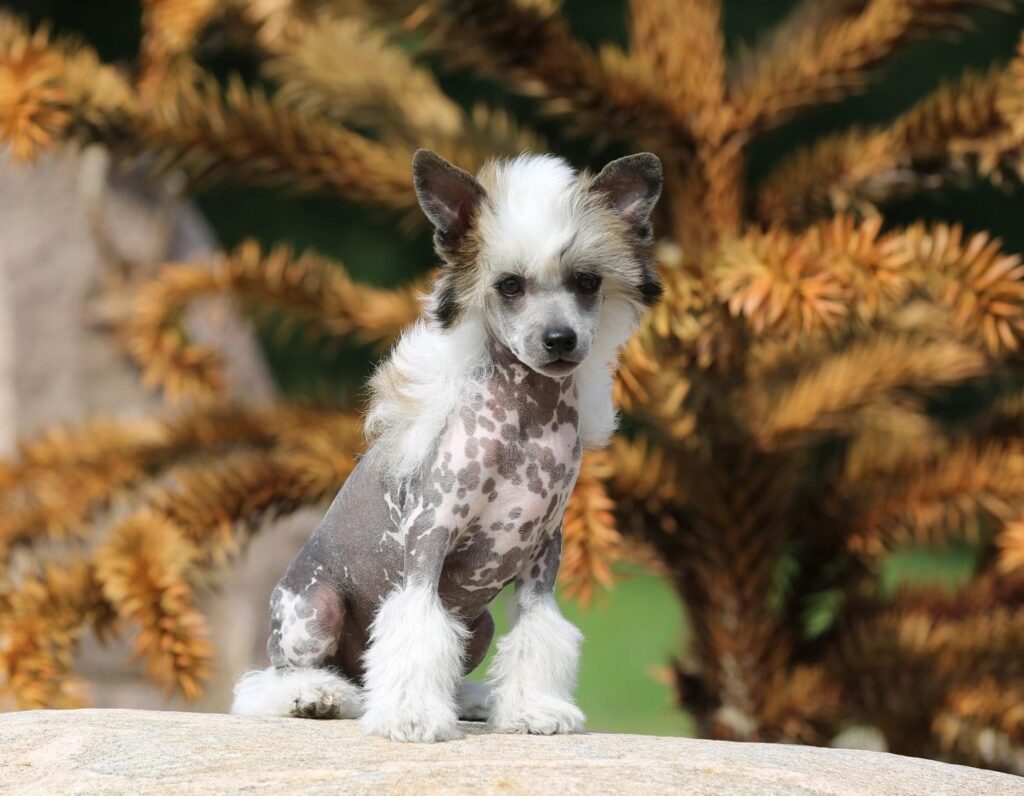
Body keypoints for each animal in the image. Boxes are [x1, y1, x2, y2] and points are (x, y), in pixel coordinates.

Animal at [230, 147, 663, 737]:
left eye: (587, 281)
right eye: (510, 285)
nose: (560, 340)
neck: (525, 425)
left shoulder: (542, 557)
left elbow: (536, 634)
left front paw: (531, 708)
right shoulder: (430, 536)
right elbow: (414, 628)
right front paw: (410, 716)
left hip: (477, 627)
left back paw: (468, 701)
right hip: (313, 611)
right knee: (270, 680)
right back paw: (315, 696)